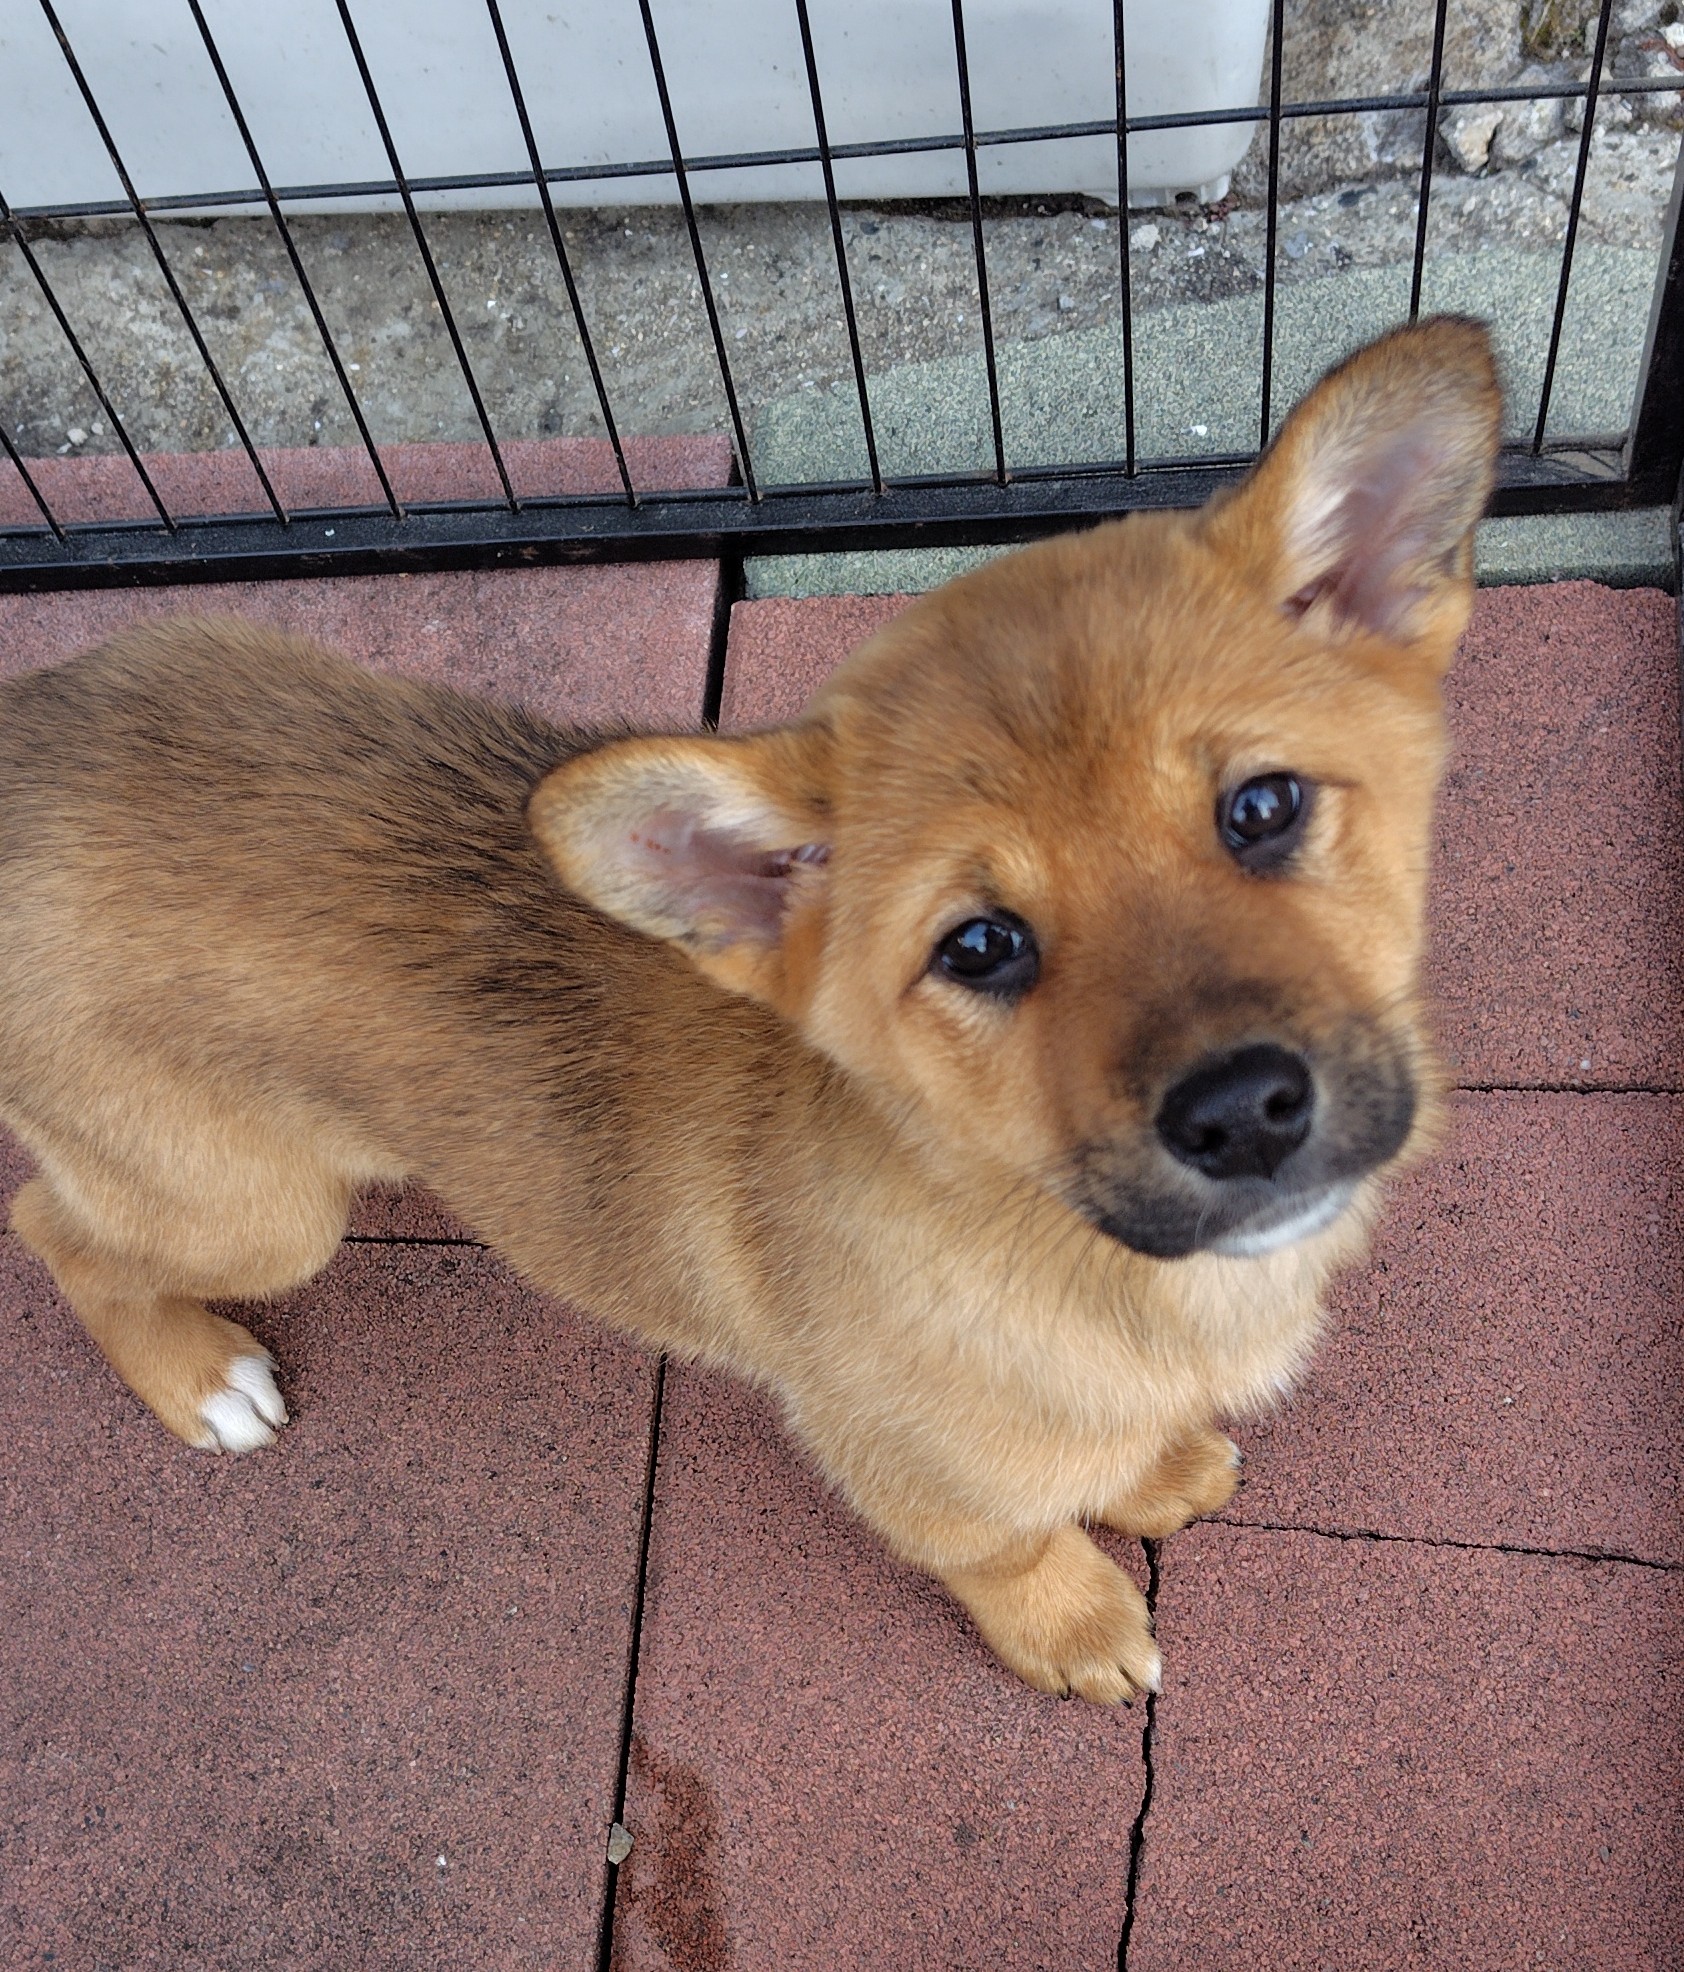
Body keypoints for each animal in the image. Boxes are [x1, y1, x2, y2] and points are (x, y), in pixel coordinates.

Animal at [0, 319, 1506, 1695]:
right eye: (979, 945)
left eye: (1263, 807)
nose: (1245, 1113)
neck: (1052, 1235)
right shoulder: (898, 1461)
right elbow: (1004, 1542)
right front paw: (1074, 1626)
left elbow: (1101, 1454)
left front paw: (1155, 1465)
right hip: (253, 1208)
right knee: (53, 1228)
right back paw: (200, 1380)